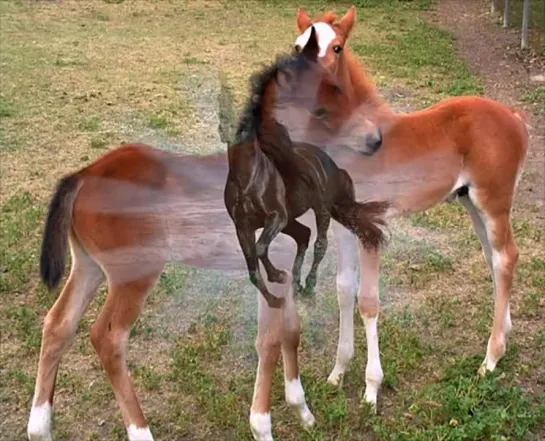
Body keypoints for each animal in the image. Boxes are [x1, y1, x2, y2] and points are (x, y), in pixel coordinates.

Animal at [222, 27, 386, 308]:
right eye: (330, 87)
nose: (375, 140)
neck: (248, 177)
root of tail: (335, 168)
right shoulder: (242, 226)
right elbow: (253, 266)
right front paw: (275, 294)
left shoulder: (276, 217)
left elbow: (260, 250)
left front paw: (277, 281)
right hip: (295, 219)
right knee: (304, 236)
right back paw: (296, 283)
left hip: (321, 210)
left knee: (319, 243)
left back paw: (308, 285)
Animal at [296, 6, 528, 410]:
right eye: (297, 47)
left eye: (336, 47)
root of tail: (513, 116)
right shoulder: (342, 224)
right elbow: (343, 289)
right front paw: (337, 372)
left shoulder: (369, 226)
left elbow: (368, 301)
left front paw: (371, 389)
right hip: (472, 203)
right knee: (494, 258)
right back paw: (504, 334)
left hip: (494, 202)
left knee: (505, 257)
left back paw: (491, 357)